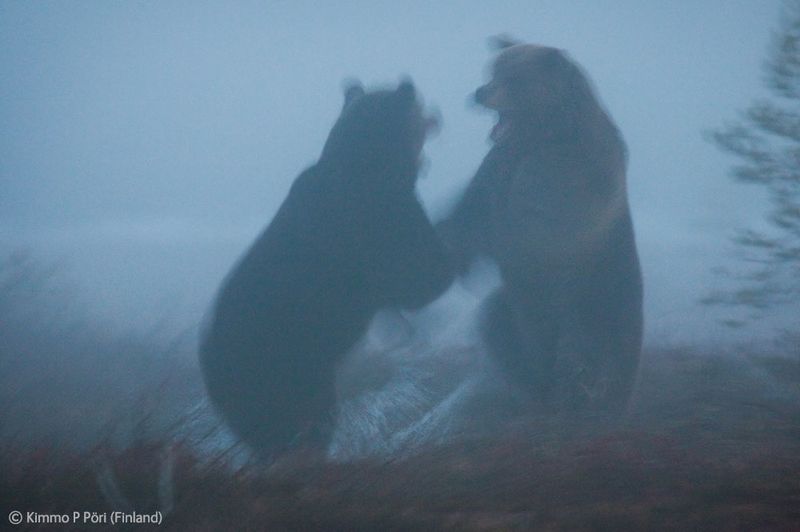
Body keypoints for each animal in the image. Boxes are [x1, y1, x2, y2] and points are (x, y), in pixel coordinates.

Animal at [200, 80, 450, 458]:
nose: (434, 107)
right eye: (416, 101)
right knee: (300, 426)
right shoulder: (374, 224)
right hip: (283, 368)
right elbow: (418, 280)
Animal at [438, 38, 644, 416]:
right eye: (493, 69)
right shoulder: (497, 170)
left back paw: (582, 390)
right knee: (502, 323)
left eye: (514, 77)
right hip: (522, 310)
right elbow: (470, 215)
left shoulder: (566, 179)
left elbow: (526, 227)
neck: (542, 135)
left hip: (602, 305)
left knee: (587, 347)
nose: (480, 92)